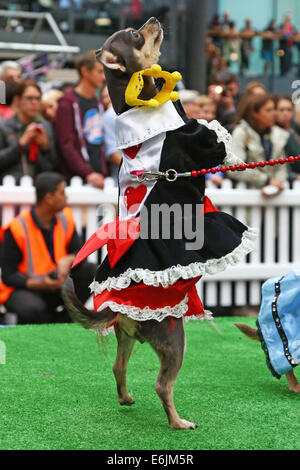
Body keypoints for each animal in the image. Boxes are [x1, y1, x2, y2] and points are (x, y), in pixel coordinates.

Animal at [62, 17, 256, 430]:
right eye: (137, 36)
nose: (153, 19)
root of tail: (120, 311)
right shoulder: (205, 141)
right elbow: (219, 139)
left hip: (127, 338)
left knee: (118, 368)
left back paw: (126, 398)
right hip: (173, 339)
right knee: (162, 385)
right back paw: (179, 422)